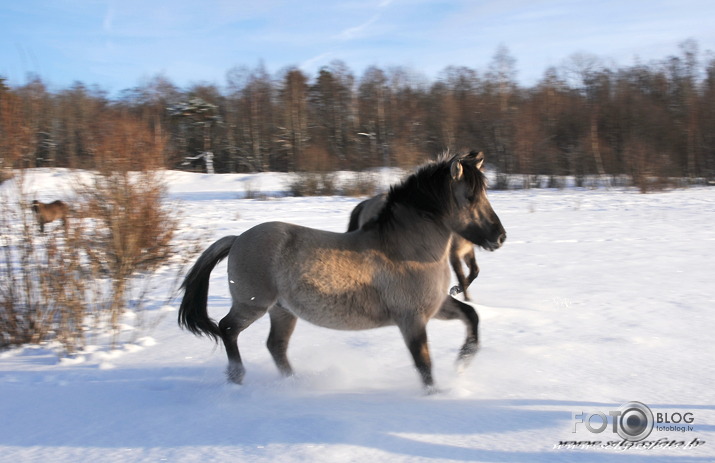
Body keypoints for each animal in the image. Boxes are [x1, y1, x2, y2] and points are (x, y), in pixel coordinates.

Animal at [178, 151, 504, 392]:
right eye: (470, 196)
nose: (499, 237)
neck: (407, 250)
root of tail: (237, 239)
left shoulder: (435, 306)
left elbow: (471, 315)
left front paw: (463, 361)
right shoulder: (411, 318)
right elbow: (424, 363)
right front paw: (436, 394)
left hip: (283, 311)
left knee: (275, 346)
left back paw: (295, 383)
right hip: (252, 305)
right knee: (227, 329)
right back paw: (237, 377)